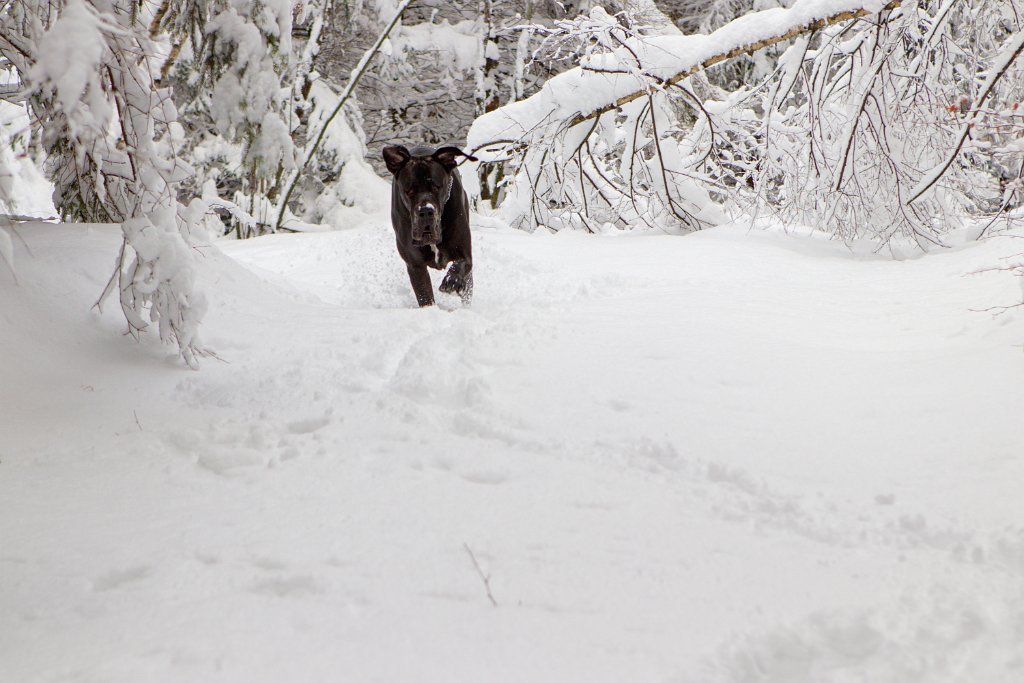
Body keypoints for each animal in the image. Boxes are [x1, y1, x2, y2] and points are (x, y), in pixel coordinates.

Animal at [385, 146, 479, 307]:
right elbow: (424, 295)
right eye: (409, 190)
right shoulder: (415, 265)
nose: (425, 211)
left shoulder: (464, 252)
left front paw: (451, 282)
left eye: (436, 187)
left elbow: (460, 264)